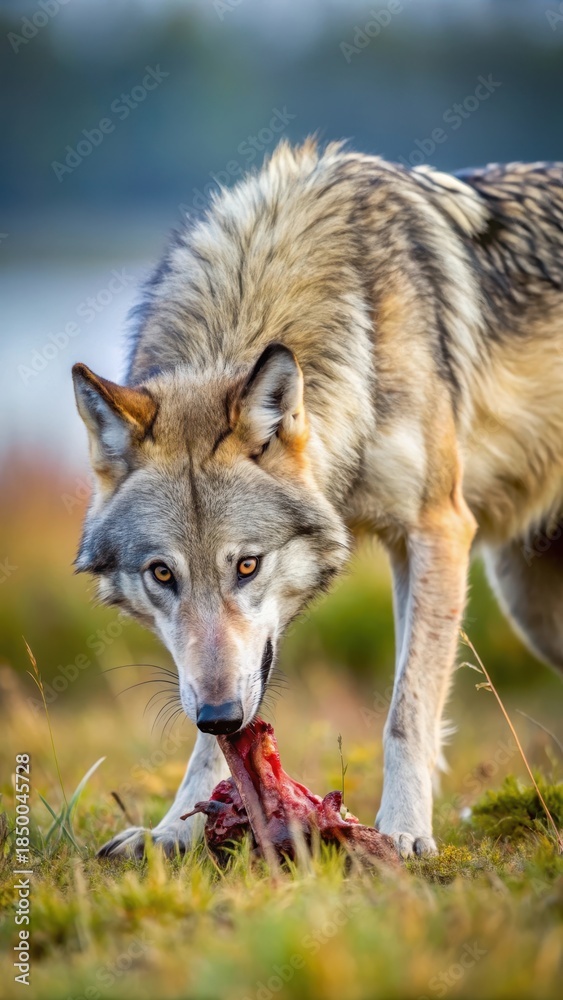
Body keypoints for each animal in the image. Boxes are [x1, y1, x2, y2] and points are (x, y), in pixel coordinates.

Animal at [72, 140, 563, 858]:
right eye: (161, 574)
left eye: (247, 565)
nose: (219, 713)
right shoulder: (224, 682)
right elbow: (216, 745)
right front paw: (173, 832)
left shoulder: (435, 528)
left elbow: (406, 709)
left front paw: (404, 830)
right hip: (532, 607)